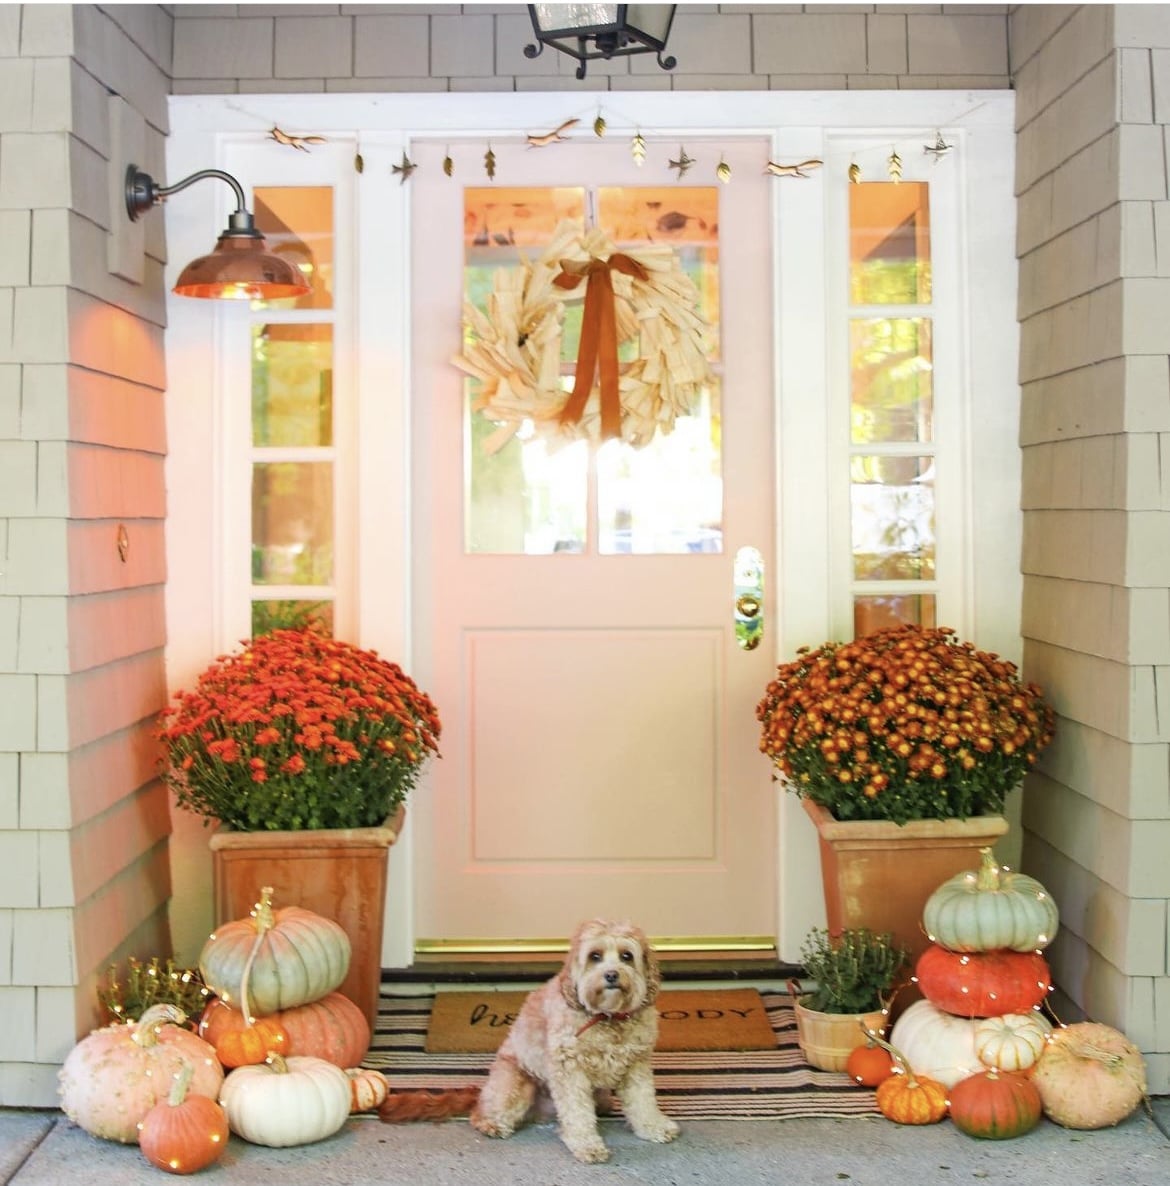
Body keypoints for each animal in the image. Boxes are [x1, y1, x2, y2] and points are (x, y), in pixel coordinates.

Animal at [471, 920, 682, 1162]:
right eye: (595, 956)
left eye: (627, 956)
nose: (611, 975)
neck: (607, 1017)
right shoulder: (570, 1070)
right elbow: (577, 1111)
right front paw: (587, 1145)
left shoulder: (636, 1065)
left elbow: (643, 1100)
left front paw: (654, 1126)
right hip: (514, 1084)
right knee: (481, 1113)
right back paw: (492, 1124)